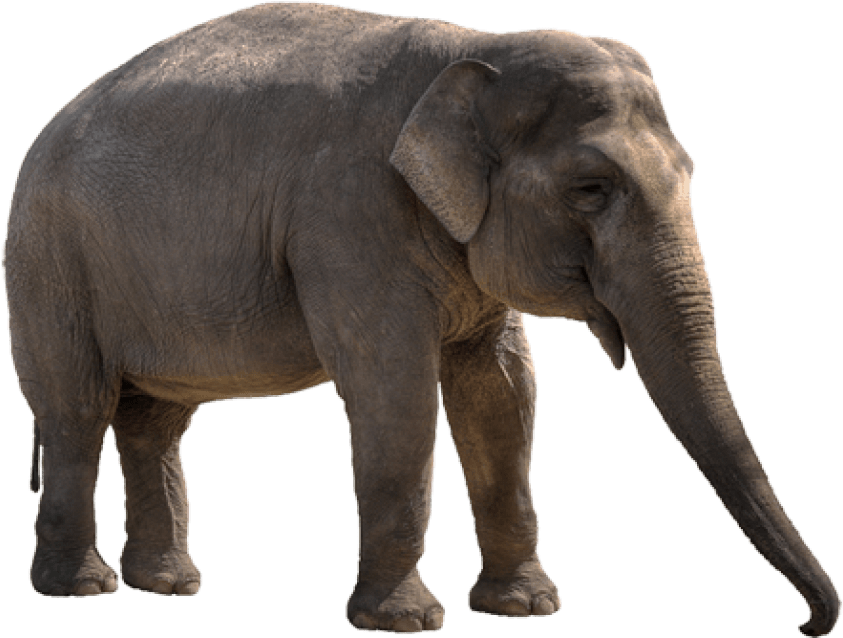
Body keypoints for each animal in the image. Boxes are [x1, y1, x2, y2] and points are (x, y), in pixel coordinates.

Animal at [3, 2, 839, 634]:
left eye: (690, 175)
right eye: (590, 189)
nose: (807, 624)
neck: (474, 49)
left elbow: (502, 392)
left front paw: (524, 609)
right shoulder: (349, 214)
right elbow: (393, 389)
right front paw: (405, 623)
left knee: (155, 420)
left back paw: (168, 585)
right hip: (50, 262)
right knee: (78, 408)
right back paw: (82, 589)